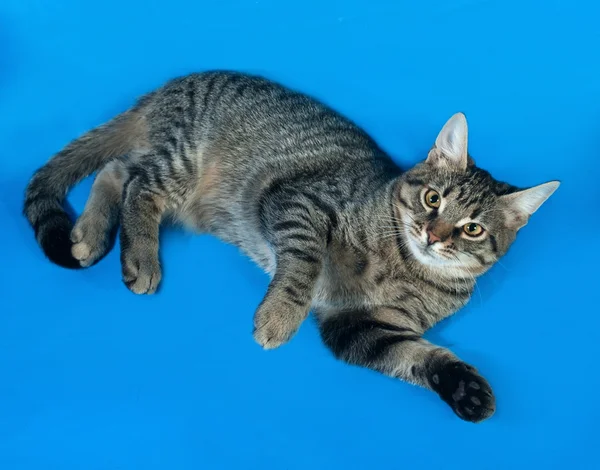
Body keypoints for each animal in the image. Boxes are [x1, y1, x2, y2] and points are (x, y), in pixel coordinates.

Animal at [22, 71, 556, 424]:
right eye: (432, 199)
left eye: (472, 229)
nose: (434, 234)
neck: (404, 266)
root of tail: (175, 84)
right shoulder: (300, 203)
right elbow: (304, 262)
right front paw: (279, 317)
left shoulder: (361, 327)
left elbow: (418, 355)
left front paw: (466, 388)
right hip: (182, 161)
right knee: (136, 184)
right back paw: (136, 256)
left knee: (115, 170)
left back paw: (89, 235)